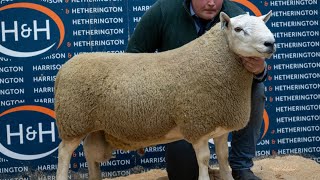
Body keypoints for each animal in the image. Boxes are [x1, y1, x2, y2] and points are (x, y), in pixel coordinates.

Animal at [55, 11, 276, 180]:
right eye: (238, 29)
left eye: (264, 25)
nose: (270, 43)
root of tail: (65, 67)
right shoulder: (196, 124)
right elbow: (204, 159)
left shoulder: (220, 126)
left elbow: (223, 157)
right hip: (73, 121)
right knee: (64, 153)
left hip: (94, 126)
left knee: (89, 152)